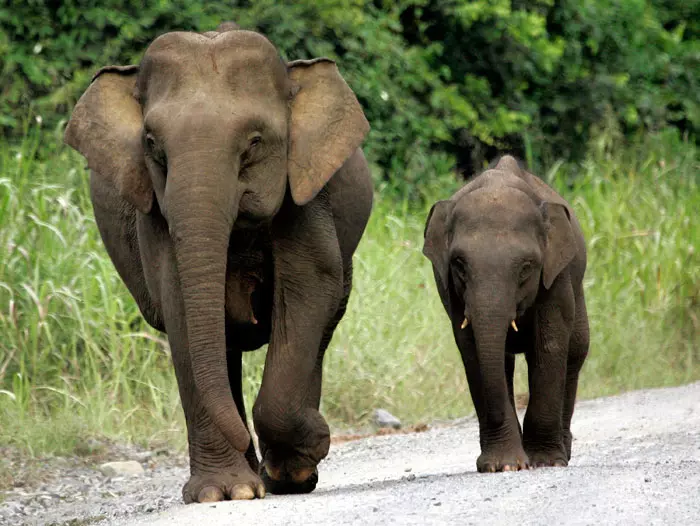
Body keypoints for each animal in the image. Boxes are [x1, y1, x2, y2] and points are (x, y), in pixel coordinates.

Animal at [63, 23, 374, 504]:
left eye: (255, 143)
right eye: (152, 146)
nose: (323, 435)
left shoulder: (307, 194)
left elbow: (308, 287)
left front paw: (300, 456)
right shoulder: (154, 211)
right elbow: (179, 304)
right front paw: (223, 492)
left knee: (323, 320)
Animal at [424, 155, 588, 472]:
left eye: (526, 267)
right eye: (459, 264)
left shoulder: (556, 276)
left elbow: (549, 345)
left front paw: (544, 462)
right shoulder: (451, 291)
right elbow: (472, 349)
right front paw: (504, 465)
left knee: (575, 354)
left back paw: (563, 452)